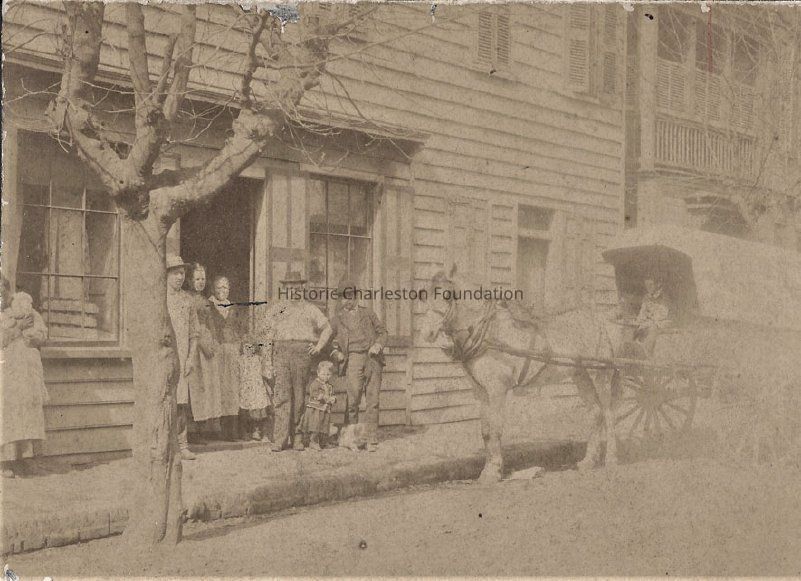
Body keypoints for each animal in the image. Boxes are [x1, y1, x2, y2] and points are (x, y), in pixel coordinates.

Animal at [419, 265, 622, 483]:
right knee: (595, 412)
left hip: (599, 375)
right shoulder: (481, 392)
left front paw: (494, 470)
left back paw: (611, 458)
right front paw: (487, 470)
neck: (491, 334)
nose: (427, 333)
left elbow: (496, 428)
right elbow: (486, 431)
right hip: (581, 376)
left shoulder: (497, 389)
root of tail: (598, 321)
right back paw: (589, 461)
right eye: (425, 294)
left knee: (608, 413)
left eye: (446, 295)